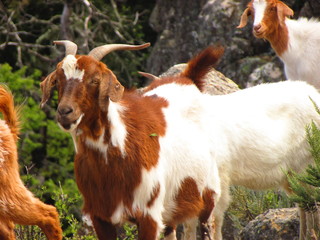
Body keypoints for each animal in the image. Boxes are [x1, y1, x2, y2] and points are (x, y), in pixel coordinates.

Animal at [38, 40, 221, 239]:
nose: (65, 112)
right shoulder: (100, 215)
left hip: (209, 195)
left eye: (95, 80)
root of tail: (188, 79)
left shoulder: (149, 215)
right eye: (58, 80)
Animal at [144, 45, 320, 240]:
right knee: (303, 204)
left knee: (311, 204)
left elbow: (214, 221)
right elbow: (188, 224)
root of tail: (314, 95)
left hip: (306, 164)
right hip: (290, 174)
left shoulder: (218, 179)